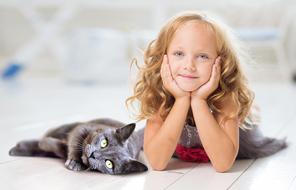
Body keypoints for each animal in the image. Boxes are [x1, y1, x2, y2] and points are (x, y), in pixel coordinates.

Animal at [8, 118, 148, 174]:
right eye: (104, 142)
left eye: (109, 164)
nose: (93, 155)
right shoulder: (82, 128)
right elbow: (75, 143)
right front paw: (75, 162)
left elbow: (57, 147)